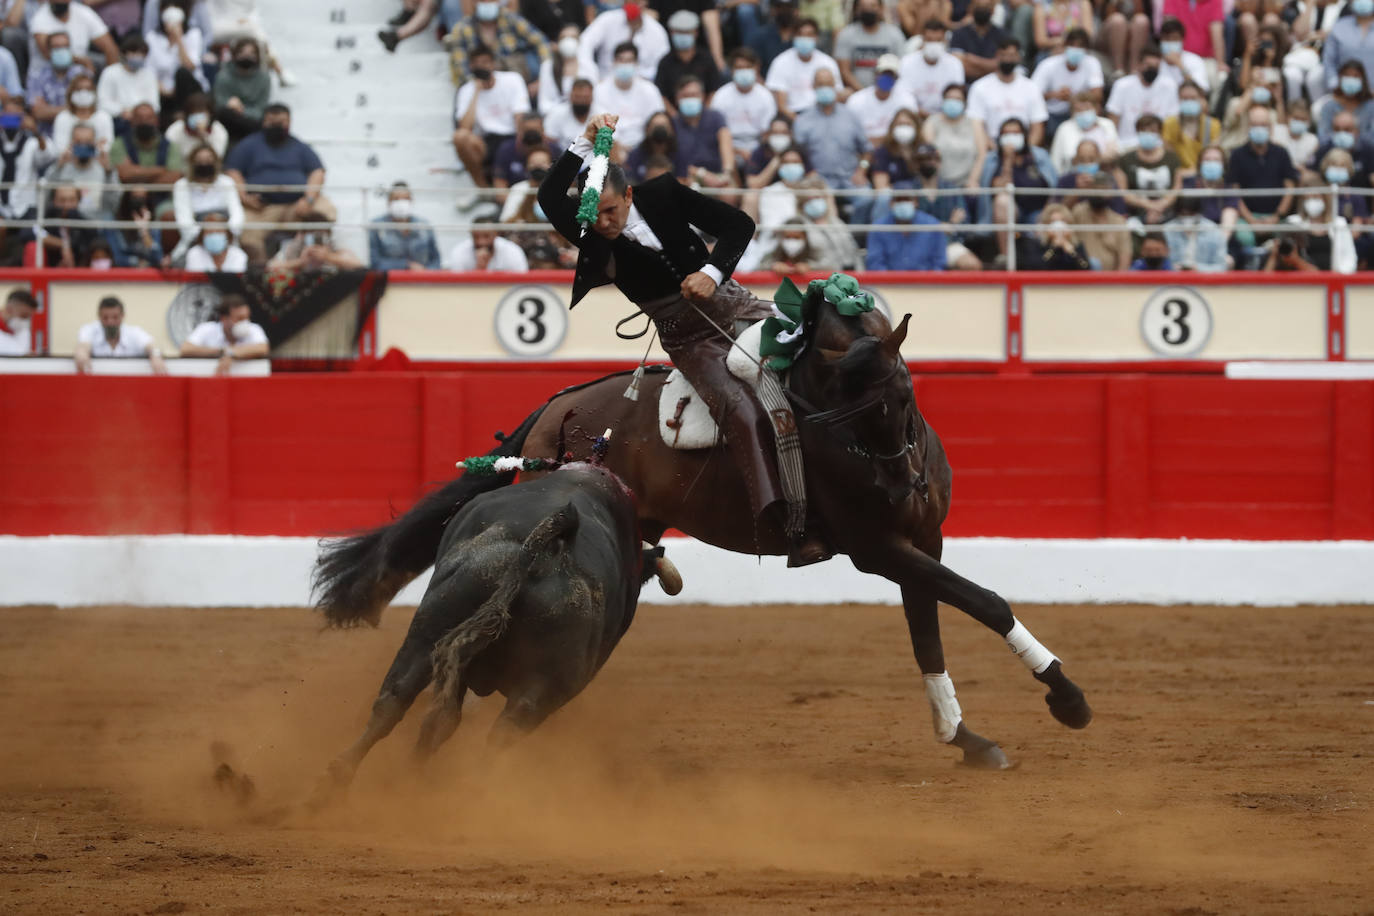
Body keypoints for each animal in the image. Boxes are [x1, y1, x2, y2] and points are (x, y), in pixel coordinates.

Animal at [317, 466, 670, 802]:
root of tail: (544, 551)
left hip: (432, 629)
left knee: (397, 700)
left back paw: (350, 785)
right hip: (545, 685)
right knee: (494, 735)